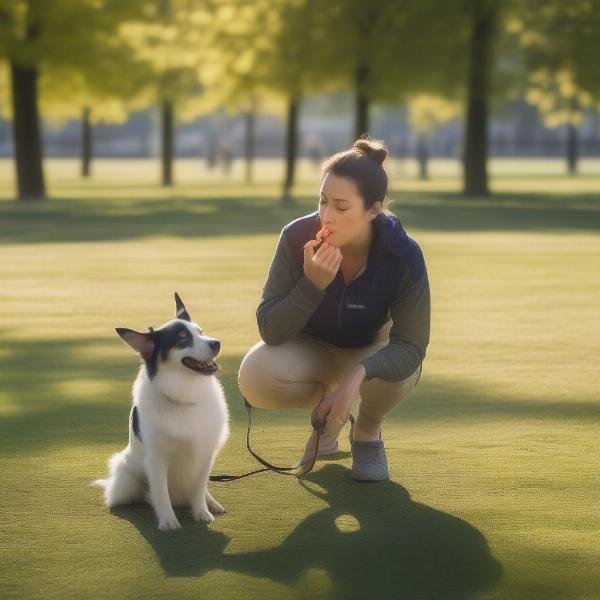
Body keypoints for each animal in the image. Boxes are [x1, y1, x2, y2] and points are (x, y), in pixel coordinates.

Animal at [93, 292, 230, 532]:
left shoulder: (204, 454)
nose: (217, 343)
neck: (185, 393)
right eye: (183, 337)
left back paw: (211, 503)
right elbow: (161, 493)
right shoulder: (157, 460)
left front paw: (202, 512)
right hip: (127, 481)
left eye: (200, 332)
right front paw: (168, 520)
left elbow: (198, 489)